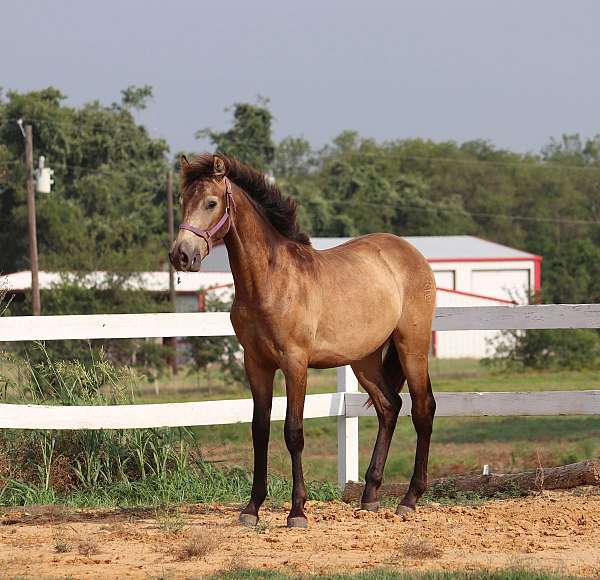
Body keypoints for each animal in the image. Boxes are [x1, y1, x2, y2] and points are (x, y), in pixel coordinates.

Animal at [169, 152, 436, 528]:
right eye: (182, 201)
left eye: (210, 202)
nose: (181, 255)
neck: (269, 281)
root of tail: (410, 252)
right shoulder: (257, 364)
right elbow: (260, 431)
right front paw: (251, 508)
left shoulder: (295, 363)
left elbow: (293, 432)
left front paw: (297, 510)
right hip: (364, 359)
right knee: (389, 406)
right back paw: (370, 497)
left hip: (412, 344)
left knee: (423, 408)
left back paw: (410, 499)